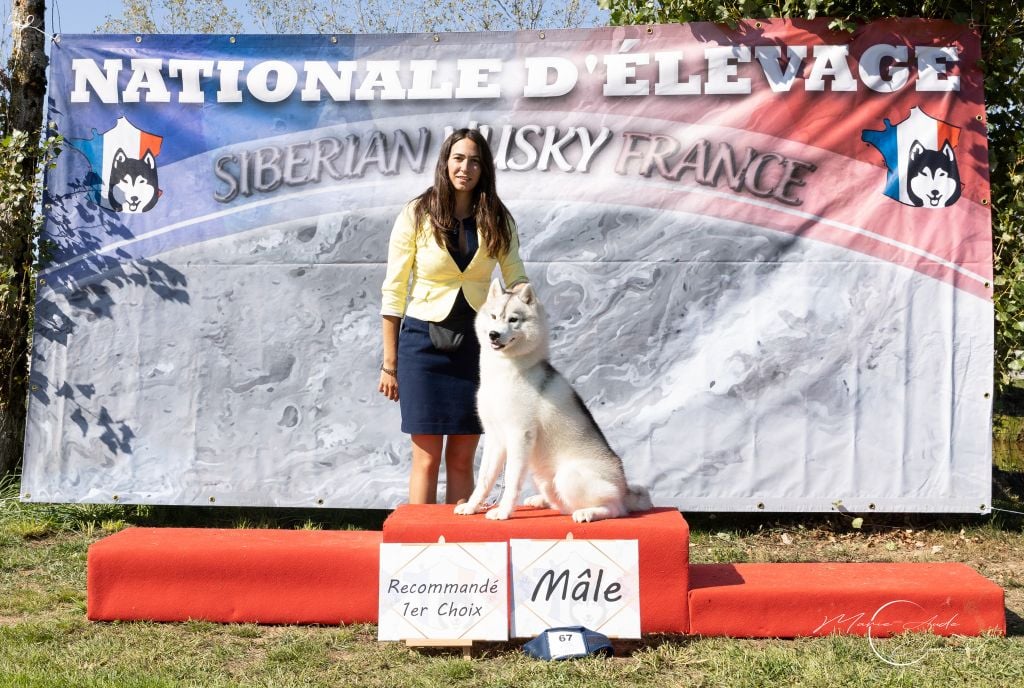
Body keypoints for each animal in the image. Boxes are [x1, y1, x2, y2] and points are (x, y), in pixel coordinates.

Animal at [454, 280, 653, 523]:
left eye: (513, 319)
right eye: (493, 316)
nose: (493, 334)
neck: (504, 372)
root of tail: (625, 490)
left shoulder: (519, 435)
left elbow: (510, 480)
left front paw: (503, 511)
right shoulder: (494, 437)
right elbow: (483, 480)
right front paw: (471, 506)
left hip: (568, 476)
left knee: (615, 509)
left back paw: (588, 512)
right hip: (543, 477)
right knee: (561, 503)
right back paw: (540, 501)